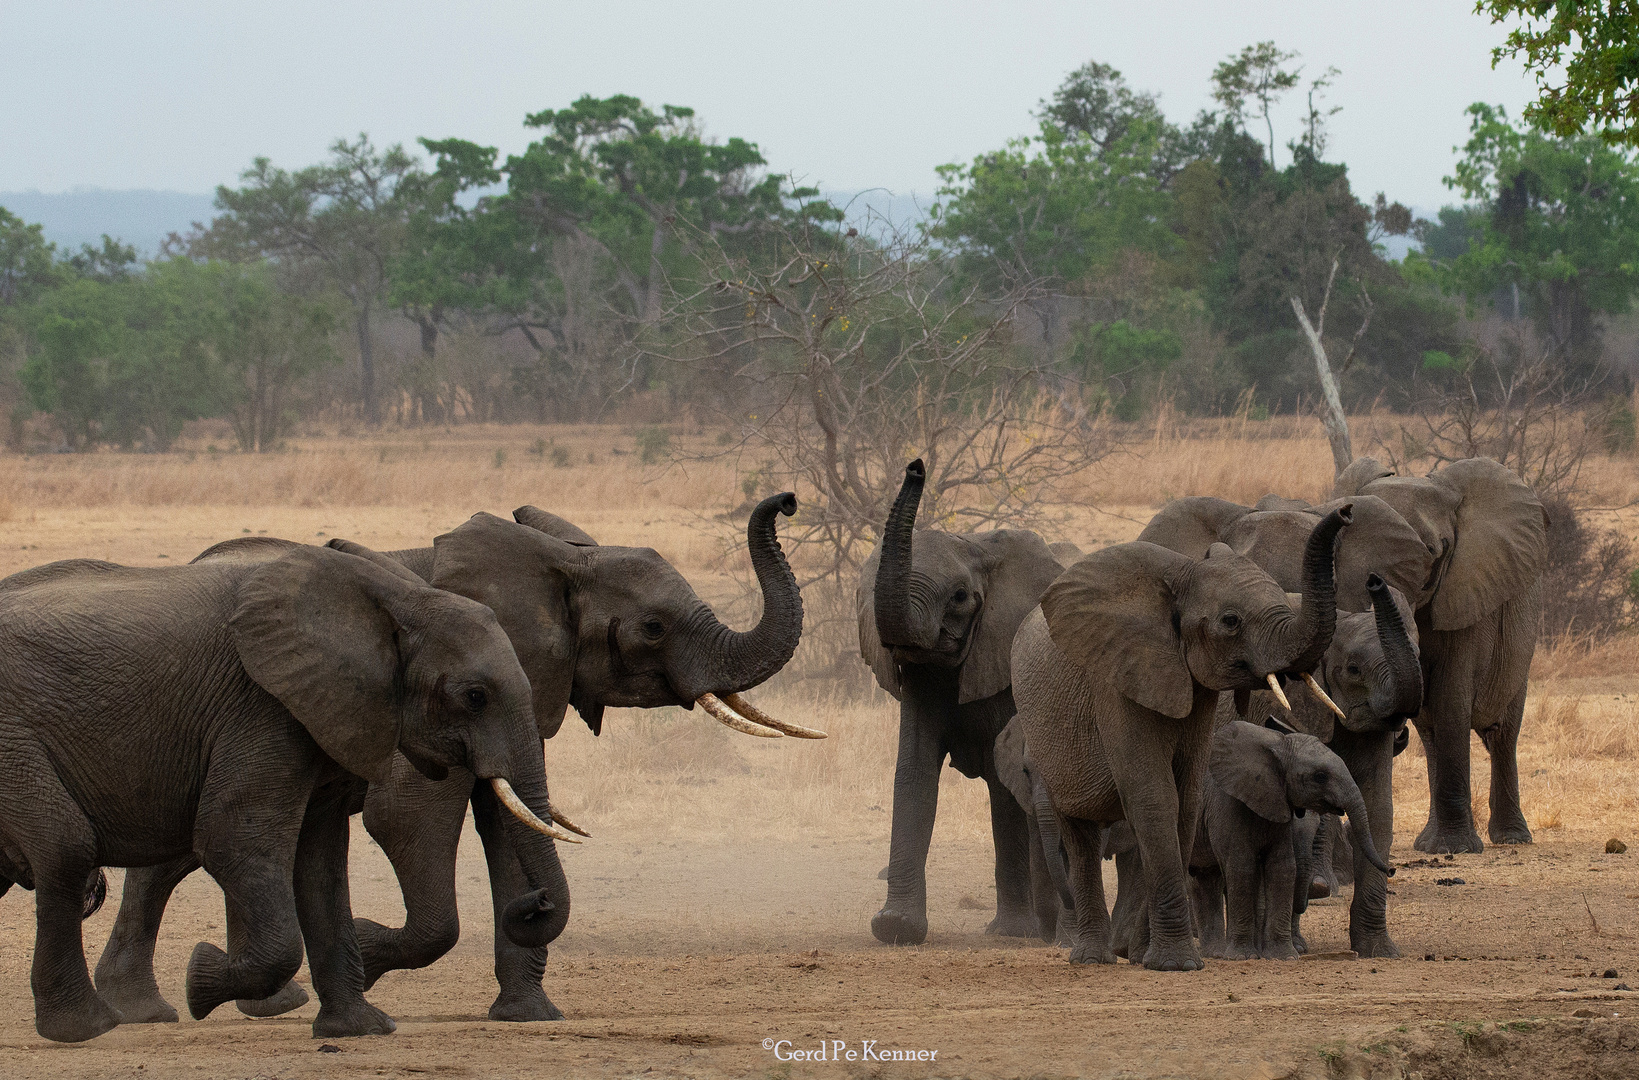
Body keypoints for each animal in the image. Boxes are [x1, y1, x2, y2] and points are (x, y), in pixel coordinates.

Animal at [0, 544, 570, 1042]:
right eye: (474, 696)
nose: (535, 900)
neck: (394, 597)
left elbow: (319, 864)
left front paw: (360, 1030)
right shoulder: (261, 707)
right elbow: (233, 841)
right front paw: (201, 979)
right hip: (11, 741)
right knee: (65, 846)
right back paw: (87, 1029)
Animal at [89, 494, 806, 1029]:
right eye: (654, 628)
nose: (787, 500)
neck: (557, 563)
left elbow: (508, 818)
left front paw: (529, 1016)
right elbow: (408, 817)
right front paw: (367, 948)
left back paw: (185, 1006)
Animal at [852, 462, 1068, 943]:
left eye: (960, 596)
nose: (916, 467)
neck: (978, 545)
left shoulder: (1006, 661)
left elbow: (1004, 784)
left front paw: (1011, 934)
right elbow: (913, 770)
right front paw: (895, 928)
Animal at [1009, 508, 1357, 970]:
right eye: (1230, 621)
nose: (1346, 513)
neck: (1183, 576)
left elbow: (1186, 798)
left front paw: (1160, 959)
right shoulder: (1116, 676)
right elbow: (1154, 795)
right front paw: (1176, 965)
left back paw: (1130, 954)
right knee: (1079, 836)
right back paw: (1092, 959)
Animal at [1186, 721, 1389, 957]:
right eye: (1320, 776)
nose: (1391, 870)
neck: (1279, 744)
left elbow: (1282, 867)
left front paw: (1284, 956)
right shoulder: (1226, 803)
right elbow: (1242, 868)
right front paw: (1244, 956)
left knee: (1205, 878)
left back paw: (1215, 953)